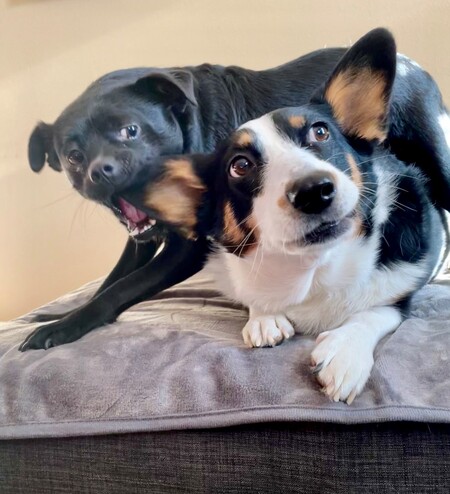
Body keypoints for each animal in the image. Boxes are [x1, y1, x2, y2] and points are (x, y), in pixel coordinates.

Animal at [20, 28, 450, 352]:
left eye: (131, 130)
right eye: (73, 156)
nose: (100, 172)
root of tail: (413, 65)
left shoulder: (187, 248)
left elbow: (122, 287)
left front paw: (62, 327)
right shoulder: (140, 240)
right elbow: (112, 279)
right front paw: (60, 314)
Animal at [115, 28, 446, 406]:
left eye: (320, 132)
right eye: (240, 165)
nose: (314, 191)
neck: (313, 269)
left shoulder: (403, 287)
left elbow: (378, 309)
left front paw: (345, 350)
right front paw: (264, 317)